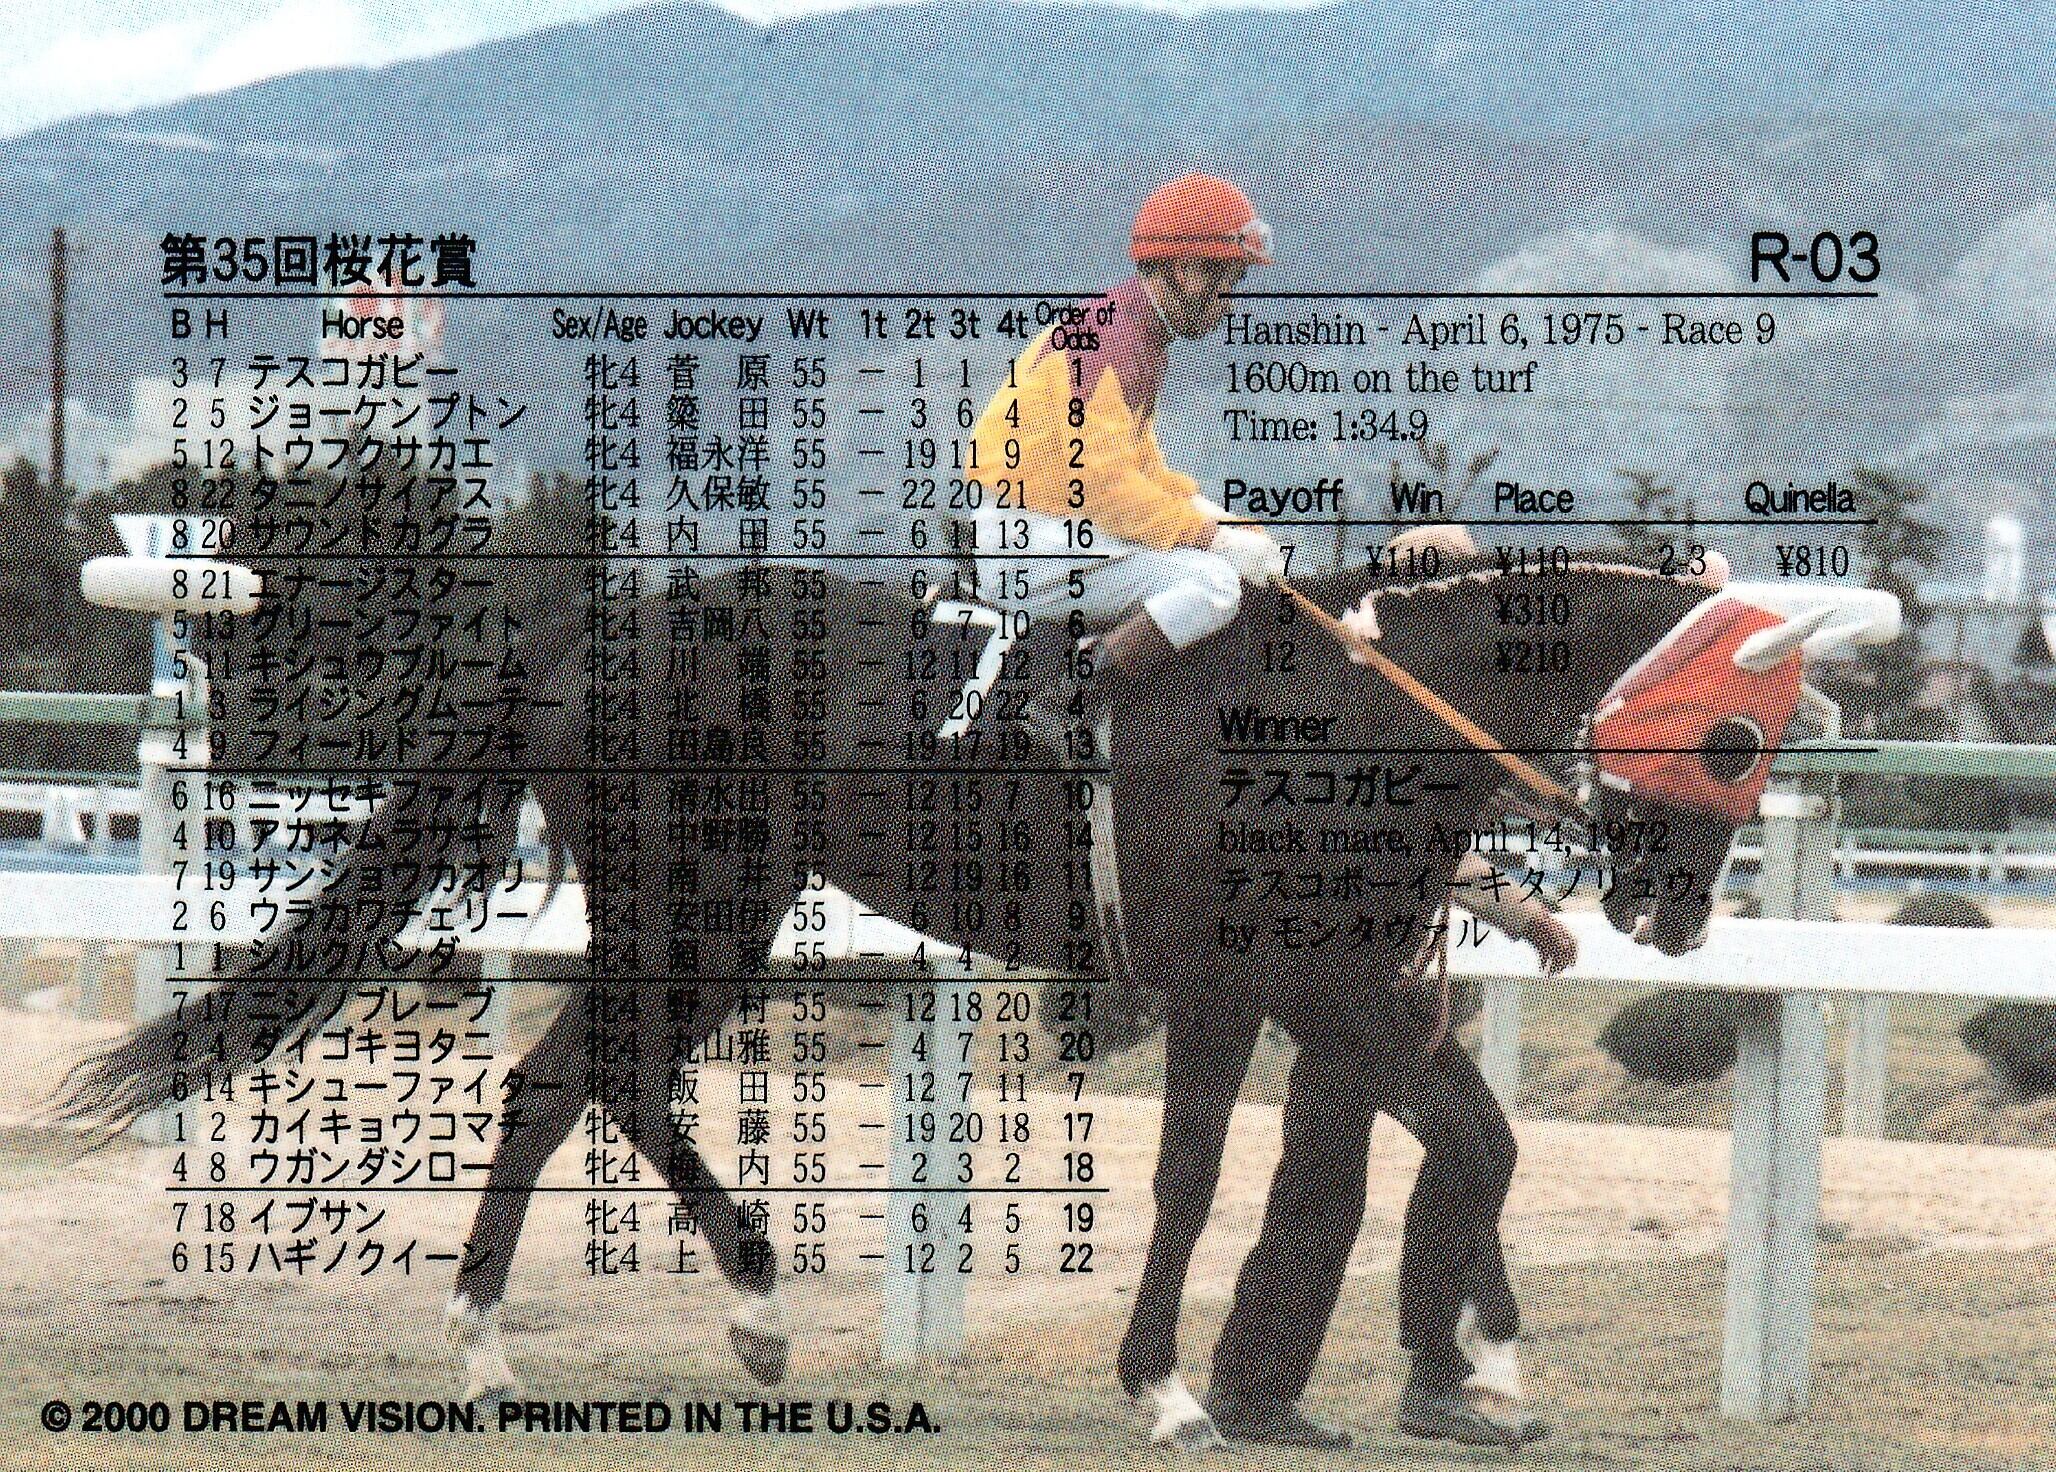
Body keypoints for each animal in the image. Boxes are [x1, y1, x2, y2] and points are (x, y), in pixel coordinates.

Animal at [53, 548, 1790, 1448]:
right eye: (1732, 734)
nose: (1675, 910)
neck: (1355, 715)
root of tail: (585, 628)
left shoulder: (1346, 980)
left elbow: (1472, 1140)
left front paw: (1482, 1372)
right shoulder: (1242, 979)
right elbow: (1195, 1179)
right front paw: (1170, 1389)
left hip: (712, 913)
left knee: (583, 1084)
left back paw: (689, 1319)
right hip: (696, 902)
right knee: (567, 1082)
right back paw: (545, 1338)